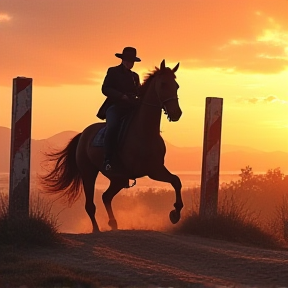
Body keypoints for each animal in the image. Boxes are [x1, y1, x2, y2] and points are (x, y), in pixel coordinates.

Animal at [41, 59, 183, 233]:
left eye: (176, 85)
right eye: (163, 84)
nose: (176, 113)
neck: (145, 131)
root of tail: (83, 134)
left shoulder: (156, 168)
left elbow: (176, 181)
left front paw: (175, 214)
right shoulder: (151, 171)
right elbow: (175, 181)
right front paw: (175, 213)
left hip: (118, 179)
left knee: (106, 196)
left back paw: (113, 223)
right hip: (89, 173)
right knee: (91, 204)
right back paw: (96, 229)